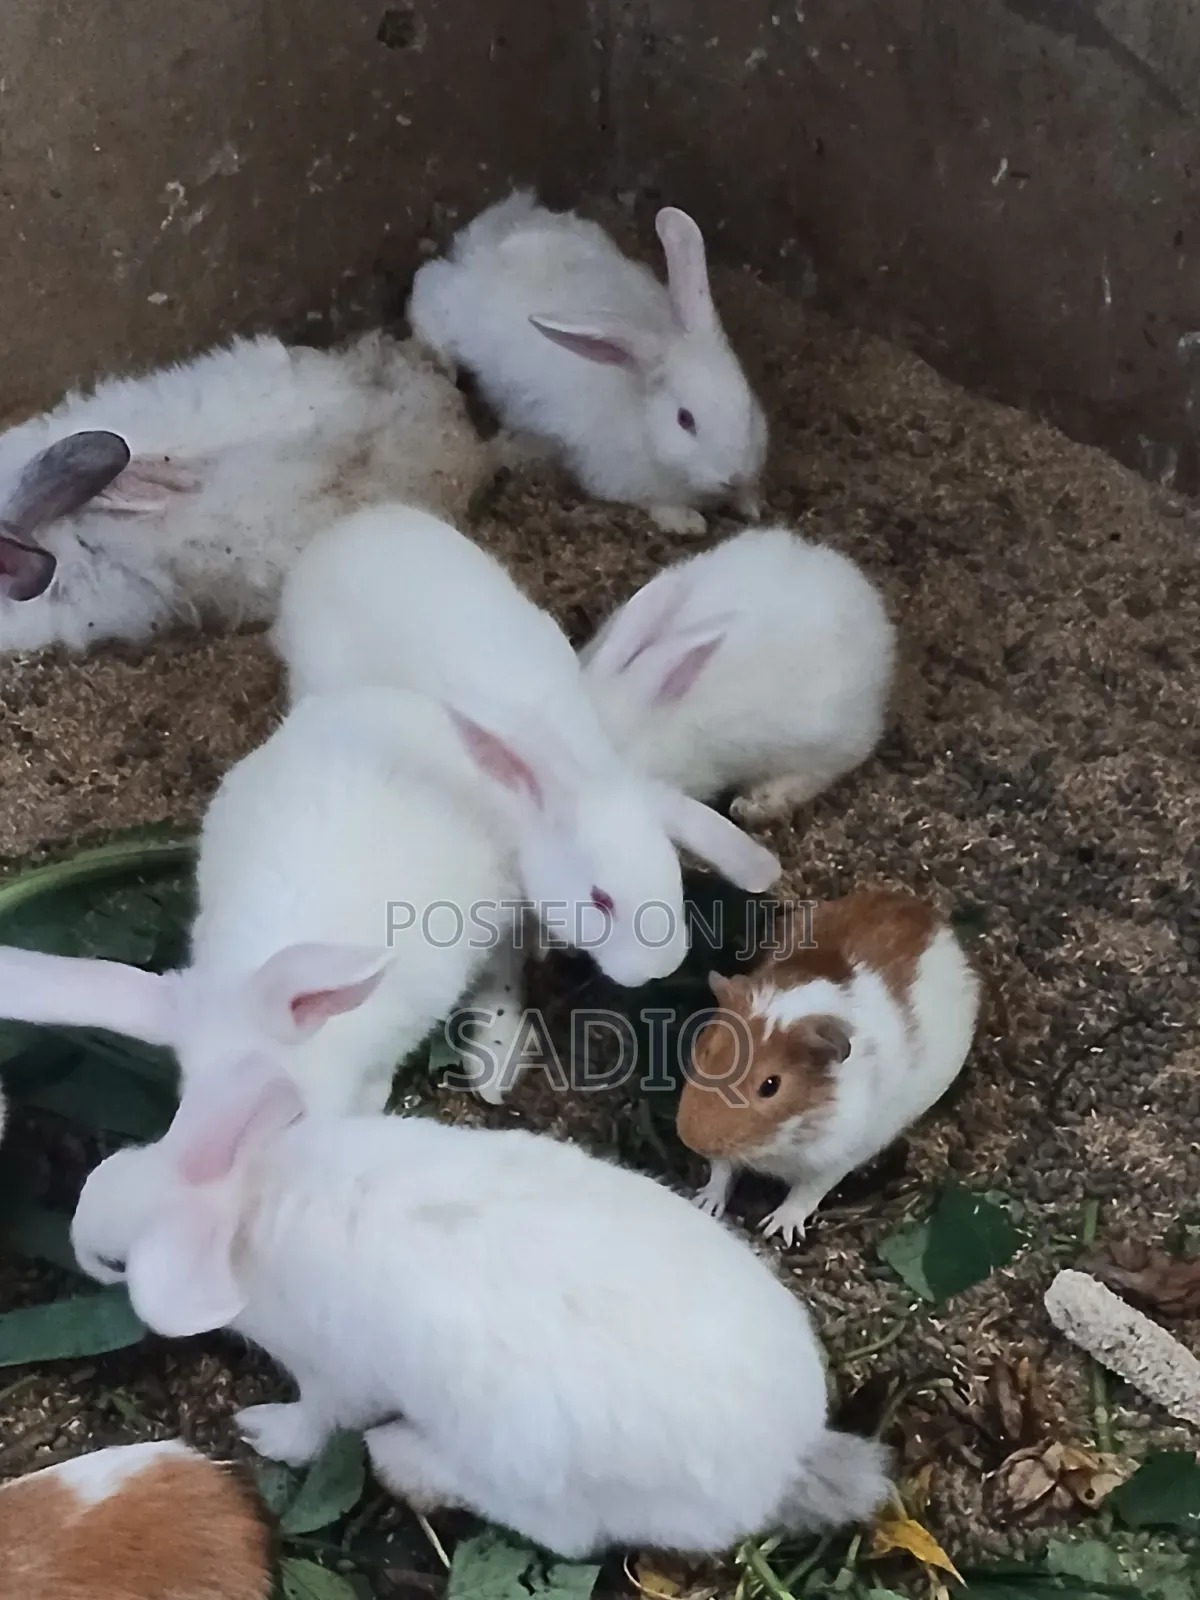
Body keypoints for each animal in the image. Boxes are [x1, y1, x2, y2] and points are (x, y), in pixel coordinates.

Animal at [70, 1056, 892, 1559]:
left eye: (117, 1264)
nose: (77, 1238)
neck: (254, 1198)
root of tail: (784, 1463)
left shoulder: (331, 1376)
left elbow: (313, 1424)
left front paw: (259, 1430)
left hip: (526, 1459)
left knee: (562, 1533)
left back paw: (405, 1458)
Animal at [408, 189, 768, 536]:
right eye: (684, 419)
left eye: (747, 404)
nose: (733, 475)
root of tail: (487, 237)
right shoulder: (621, 480)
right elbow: (658, 504)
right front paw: (688, 522)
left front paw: (751, 504)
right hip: (456, 311)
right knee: (426, 286)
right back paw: (441, 358)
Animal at [676, 889, 980, 1244]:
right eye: (709, 1049)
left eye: (770, 1085)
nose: (691, 1139)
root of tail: (935, 919)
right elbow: (722, 1173)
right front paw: (703, 1204)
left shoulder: (835, 1159)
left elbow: (804, 1195)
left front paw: (777, 1230)